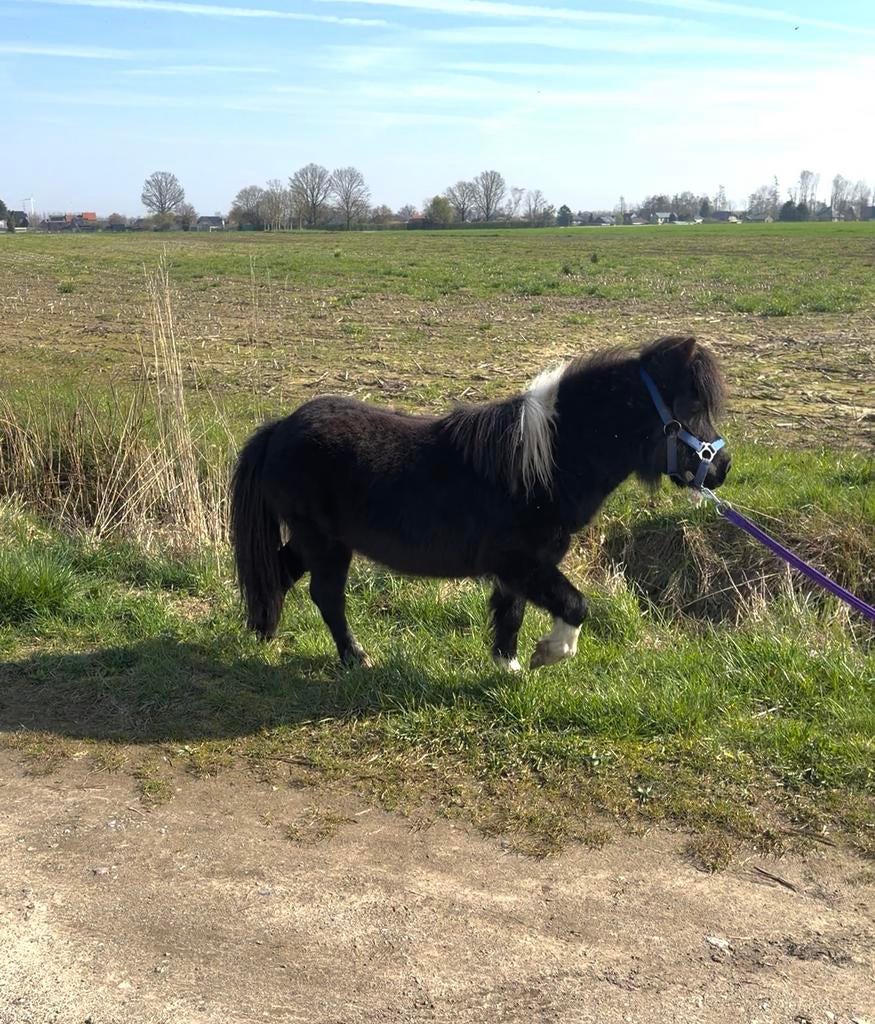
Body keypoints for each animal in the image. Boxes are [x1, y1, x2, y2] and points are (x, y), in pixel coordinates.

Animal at [230, 335, 730, 670]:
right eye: (689, 407)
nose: (723, 467)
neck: (544, 464)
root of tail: (280, 428)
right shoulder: (519, 562)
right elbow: (575, 605)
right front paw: (550, 652)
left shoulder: (521, 569)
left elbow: (511, 613)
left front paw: (508, 668)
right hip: (324, 543)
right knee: (326, 595)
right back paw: (354, 656)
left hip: (314, 540)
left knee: (277, 572)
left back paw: (263, 630)